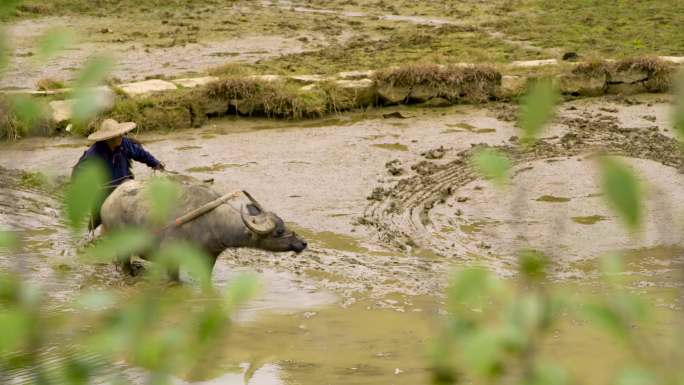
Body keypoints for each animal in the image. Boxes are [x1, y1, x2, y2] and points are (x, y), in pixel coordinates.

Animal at [99, 176, 308, 278]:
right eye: (278, 231)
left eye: (283, 224)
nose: (303, 243)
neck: (210, 223)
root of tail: (107, 202)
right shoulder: (171, 260)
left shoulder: (209, 259)